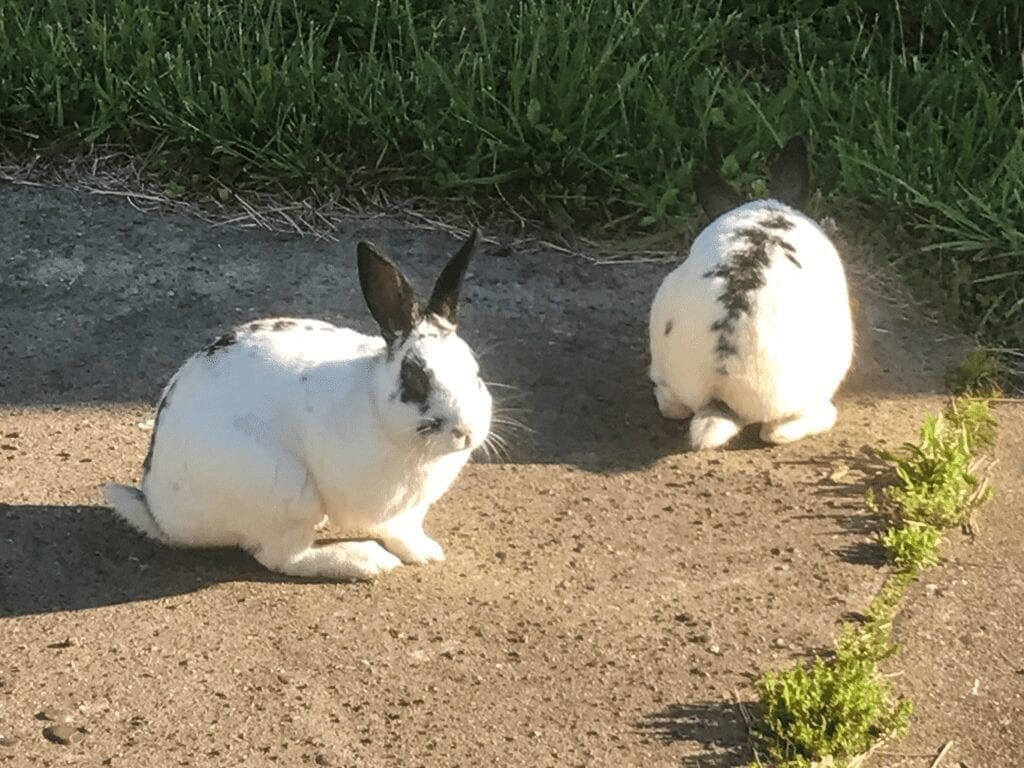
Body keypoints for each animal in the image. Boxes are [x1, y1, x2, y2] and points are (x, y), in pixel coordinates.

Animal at [105, 231, 489, 581]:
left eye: (475, 372)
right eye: (414, 379)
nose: (465, 432)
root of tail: (162, 514)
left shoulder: (410, 510)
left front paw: (428, 552)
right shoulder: (383, 508)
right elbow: (393, 530)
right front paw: (418, 554)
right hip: (286, 490)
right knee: (283, 558)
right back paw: (367, 561)